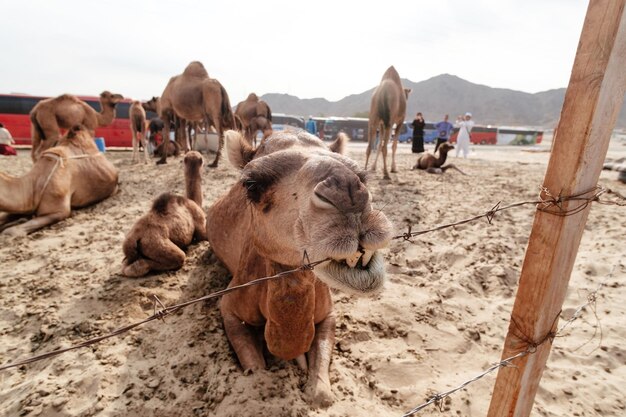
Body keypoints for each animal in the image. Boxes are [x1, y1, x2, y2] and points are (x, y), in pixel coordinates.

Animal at [207, 129, 392, 404]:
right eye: (251, 184)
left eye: (362, 175)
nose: (348, 192)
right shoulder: (228, 308)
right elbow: (255, 371)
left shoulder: (329, 313)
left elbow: (321, 394)